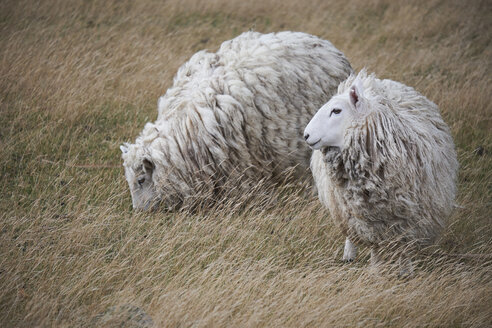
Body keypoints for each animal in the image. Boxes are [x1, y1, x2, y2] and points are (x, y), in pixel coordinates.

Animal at [306, 71, 460, 274]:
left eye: (336, 111)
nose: (306, 135)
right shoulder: (367, 219)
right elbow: (374, 246)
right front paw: (376, 270)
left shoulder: (408, 218)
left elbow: (405, 246)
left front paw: (406, 272)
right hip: (343, 209)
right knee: (350, 232)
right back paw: (349, 254)